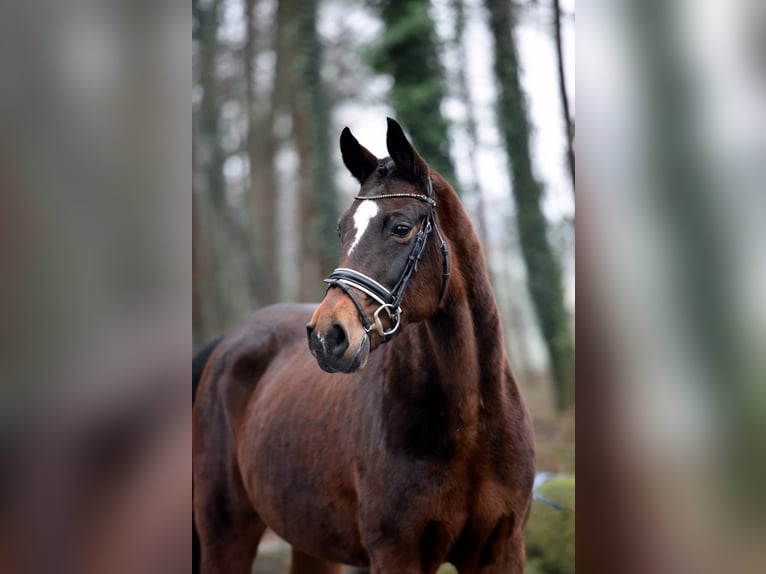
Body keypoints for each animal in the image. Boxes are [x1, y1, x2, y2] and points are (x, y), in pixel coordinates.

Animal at [194, 119, 536, 572]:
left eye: (401, 228)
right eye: (343, 229)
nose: (328, 336)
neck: (467, 425)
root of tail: (226, 345)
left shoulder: (502, 549)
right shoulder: (395, 552)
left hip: (310, 541)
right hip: (226, 534)